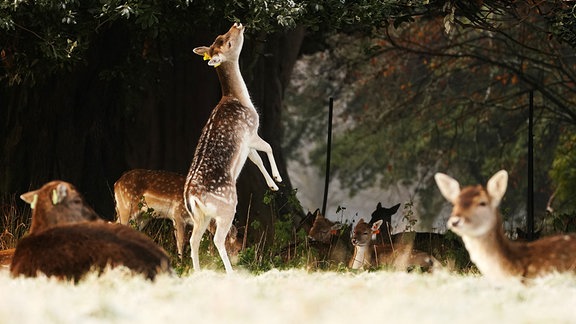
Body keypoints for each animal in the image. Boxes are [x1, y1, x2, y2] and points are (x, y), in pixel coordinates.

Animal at [186, 22, 282, 274]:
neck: (240, 99)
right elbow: (269, 147)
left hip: (200, 216)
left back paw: (197, 272)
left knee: (193, 240)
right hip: (227, 207)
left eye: (221, 36)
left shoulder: (246, 144)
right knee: (218, 239)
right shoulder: (251, 130)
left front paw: (273, 185)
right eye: (228, 42)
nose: (237, 24)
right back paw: (230, 272)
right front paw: (278, 178)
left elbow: (257, 159)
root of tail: (192, 196)